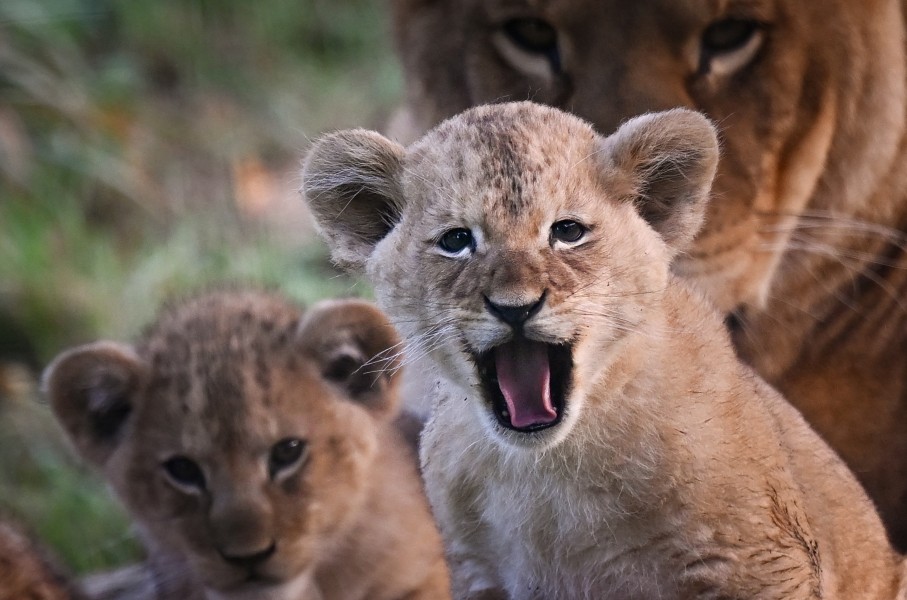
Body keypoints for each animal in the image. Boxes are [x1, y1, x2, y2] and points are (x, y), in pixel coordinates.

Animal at [302, 102, 907, 598]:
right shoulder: (478, 572)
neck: (548, 469)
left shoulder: (762, 562)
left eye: (567, 232)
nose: (515, 307)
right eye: (456, 241)